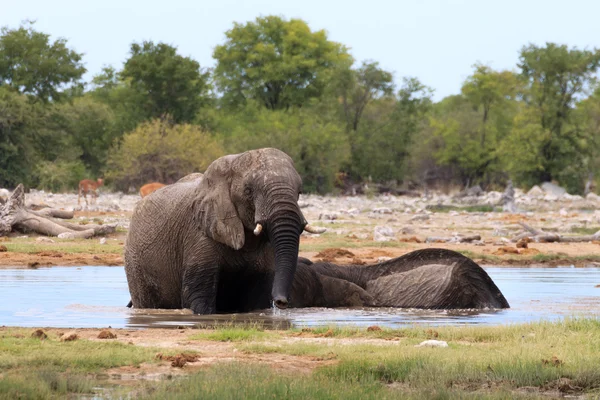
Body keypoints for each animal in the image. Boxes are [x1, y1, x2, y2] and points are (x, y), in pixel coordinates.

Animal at [123, 148, 326, 314]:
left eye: (299, 192)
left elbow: (257, 299)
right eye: (248, 191)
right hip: (136, 266)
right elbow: (198, 299)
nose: (281, 302)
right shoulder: (199, 233)